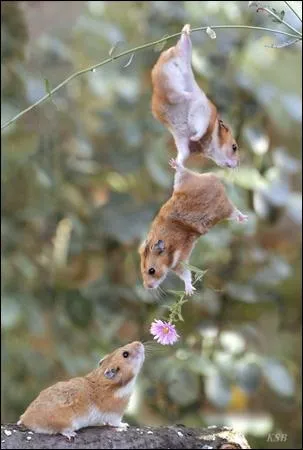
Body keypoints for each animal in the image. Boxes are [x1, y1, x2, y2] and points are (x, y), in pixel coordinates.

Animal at [17, 342, 146, 440]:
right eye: (125, 354)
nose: (139, 343)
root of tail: (25, 419)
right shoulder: (115, 413)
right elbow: (117, 423)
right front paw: (125, 425)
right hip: (66, 422)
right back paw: (71, 434)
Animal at [140, 159, 247, 296]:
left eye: (151, 271)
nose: (147, 286)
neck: (168, 249)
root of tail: (215, 179)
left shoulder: (180, 261)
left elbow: (186, 275)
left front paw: (189, 292)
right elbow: (185, 275)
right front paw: (190, 292)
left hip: (223, 208)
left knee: (235, 212)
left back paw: (244, 218)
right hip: (185, 183)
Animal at [152, 22, 240, 168]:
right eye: (234, 147)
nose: (237, 164)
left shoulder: (181, 139)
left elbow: (183, 154)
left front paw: (174, 163)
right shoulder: (202, 113)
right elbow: (200, 128)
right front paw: (195, 137)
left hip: (178, 60)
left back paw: (186, 29)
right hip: (174, 76)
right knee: (176, 94)